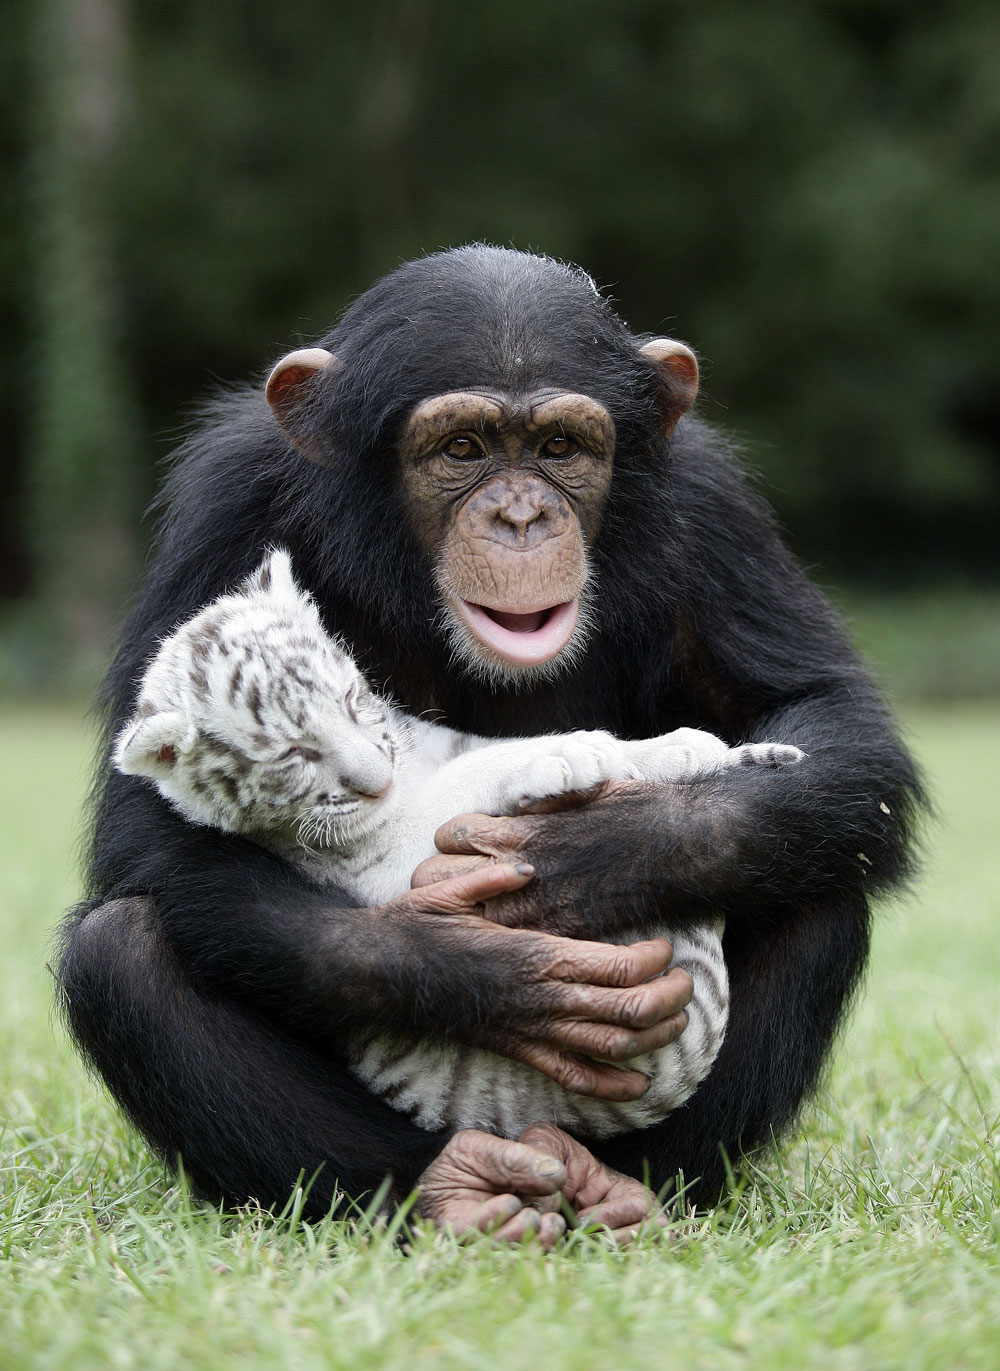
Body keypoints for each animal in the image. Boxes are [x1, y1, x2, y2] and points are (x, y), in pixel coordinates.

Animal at [58, 244, 921, 1244]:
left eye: (560, 449)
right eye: (462, 449)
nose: (519, 516)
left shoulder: (714, 508)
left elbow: (832, 720)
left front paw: (603, 848)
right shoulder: (225, 502)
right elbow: (142, 833)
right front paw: (487, 966)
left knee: (817, 873)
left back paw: (631, 1191)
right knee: (119, 948)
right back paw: (456, 1188)